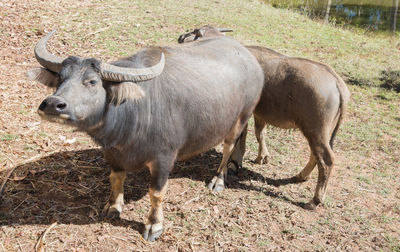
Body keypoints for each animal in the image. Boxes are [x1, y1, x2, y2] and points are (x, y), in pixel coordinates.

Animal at [28, 30, 266, 240]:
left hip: (241, 117)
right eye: (61, 78)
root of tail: (251, 60)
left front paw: (154, 225)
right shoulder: (112, 153)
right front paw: (113, 207)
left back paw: (218, 179)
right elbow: (115, 179)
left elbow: (156, 194)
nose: (52, 104)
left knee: (228, 147)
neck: (134, 114)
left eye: (92, 82)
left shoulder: (163, 159)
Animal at [178, 26, 350, 211]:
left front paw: (233, 164)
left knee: (326, 160)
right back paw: (300, 176)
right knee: (315, 155)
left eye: (195, 32)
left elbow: (242, 138)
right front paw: (259, 158)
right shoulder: (257, 115)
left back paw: (315, 199)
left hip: (316, 130)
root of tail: (336, 81)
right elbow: (259, 134)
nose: (181, 36)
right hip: (318, 133)